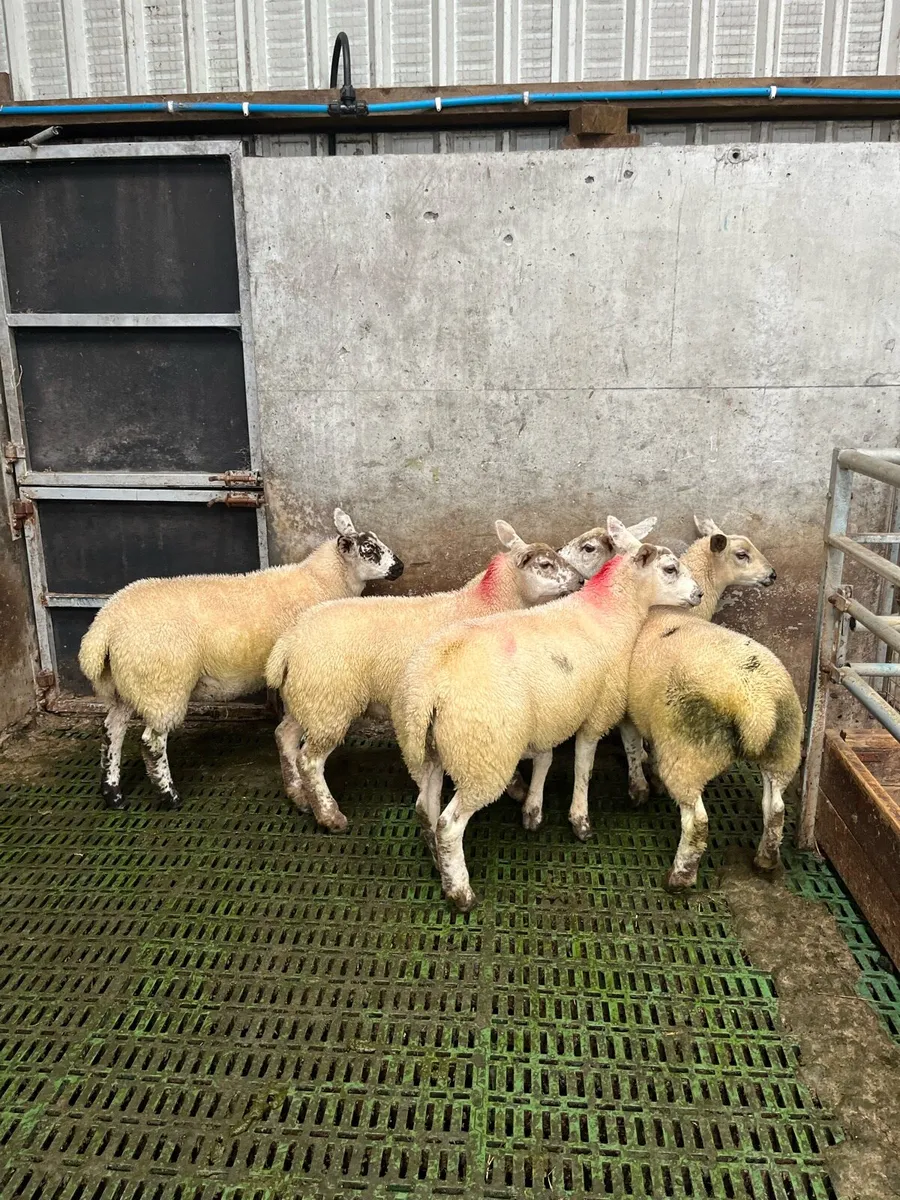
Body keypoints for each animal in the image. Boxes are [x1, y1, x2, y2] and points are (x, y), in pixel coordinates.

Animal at [78, 509, 403, 810]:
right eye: (369, 550)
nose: (399, 566)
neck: (322, 580)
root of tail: (102, 627)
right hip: (162, 685)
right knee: (151, 742)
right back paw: (169, 796)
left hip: (126, 684)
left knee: (112, 730)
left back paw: (113, 794)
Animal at [265, 520, 583, 835]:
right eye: (545, 564)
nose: (581, 581)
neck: (490, 603)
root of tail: (289, 641)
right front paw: (518, 787)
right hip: (329, 701)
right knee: (309, 760)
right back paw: (330, 816)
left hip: (309, 698)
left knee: (284, 737)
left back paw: (298, 795)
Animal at [396, 518, 703, 911]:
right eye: (670, 569)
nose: (698, 595)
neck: (612, 612)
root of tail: (429, 688)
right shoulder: (596, 710)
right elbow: (584, 766)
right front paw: (580, 821)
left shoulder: (548, 713)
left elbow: (545, 759)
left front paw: (533, 810)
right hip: (483, 754)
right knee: (449, 825)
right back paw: (460, 892)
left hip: (427, 747)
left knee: (425, 808)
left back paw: (437, 861)